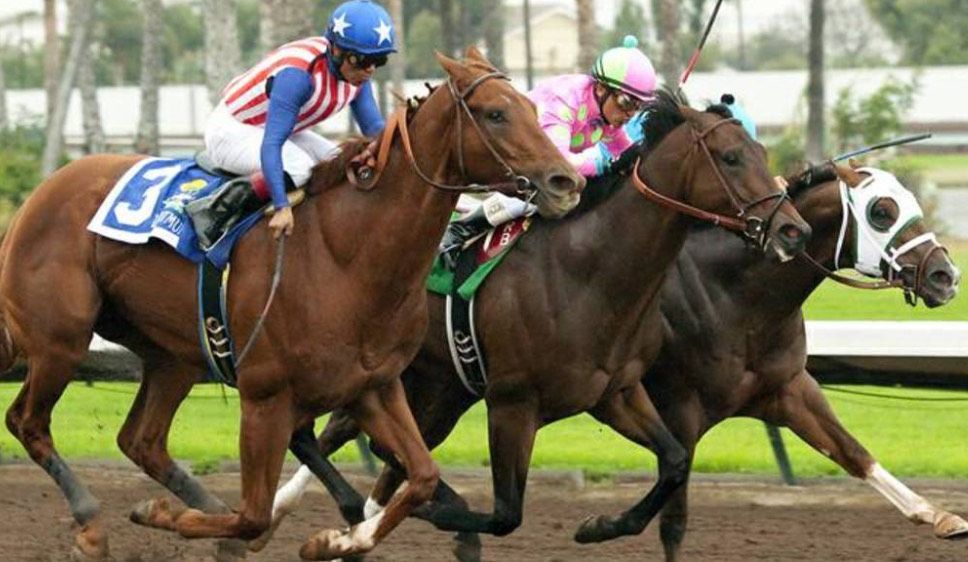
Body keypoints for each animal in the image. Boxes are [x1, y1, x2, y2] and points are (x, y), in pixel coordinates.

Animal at [0, 48, 583, 561]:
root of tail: (38, 195)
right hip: (63, 339)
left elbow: (421, 475)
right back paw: (92, 524)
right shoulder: (265, 397)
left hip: (174, 355)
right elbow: (253, 513)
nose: (566, 181)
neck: (346, 256)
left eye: (532, 108)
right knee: (27, 421)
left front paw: (335, 540)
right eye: (496, 113)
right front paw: (171, 516)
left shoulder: (373, 385)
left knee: (140, 439)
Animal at [255, 90, 814, 556]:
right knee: (326, 433)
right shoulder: (513, 403)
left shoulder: (615, 392)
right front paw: (432, 518)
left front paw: (597, 526)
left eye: (762, 153)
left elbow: (674, 463)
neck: (588, 273)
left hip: (439, 386)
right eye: (731, 157)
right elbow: (505, 514)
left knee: (368, 443)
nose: (794, 229)